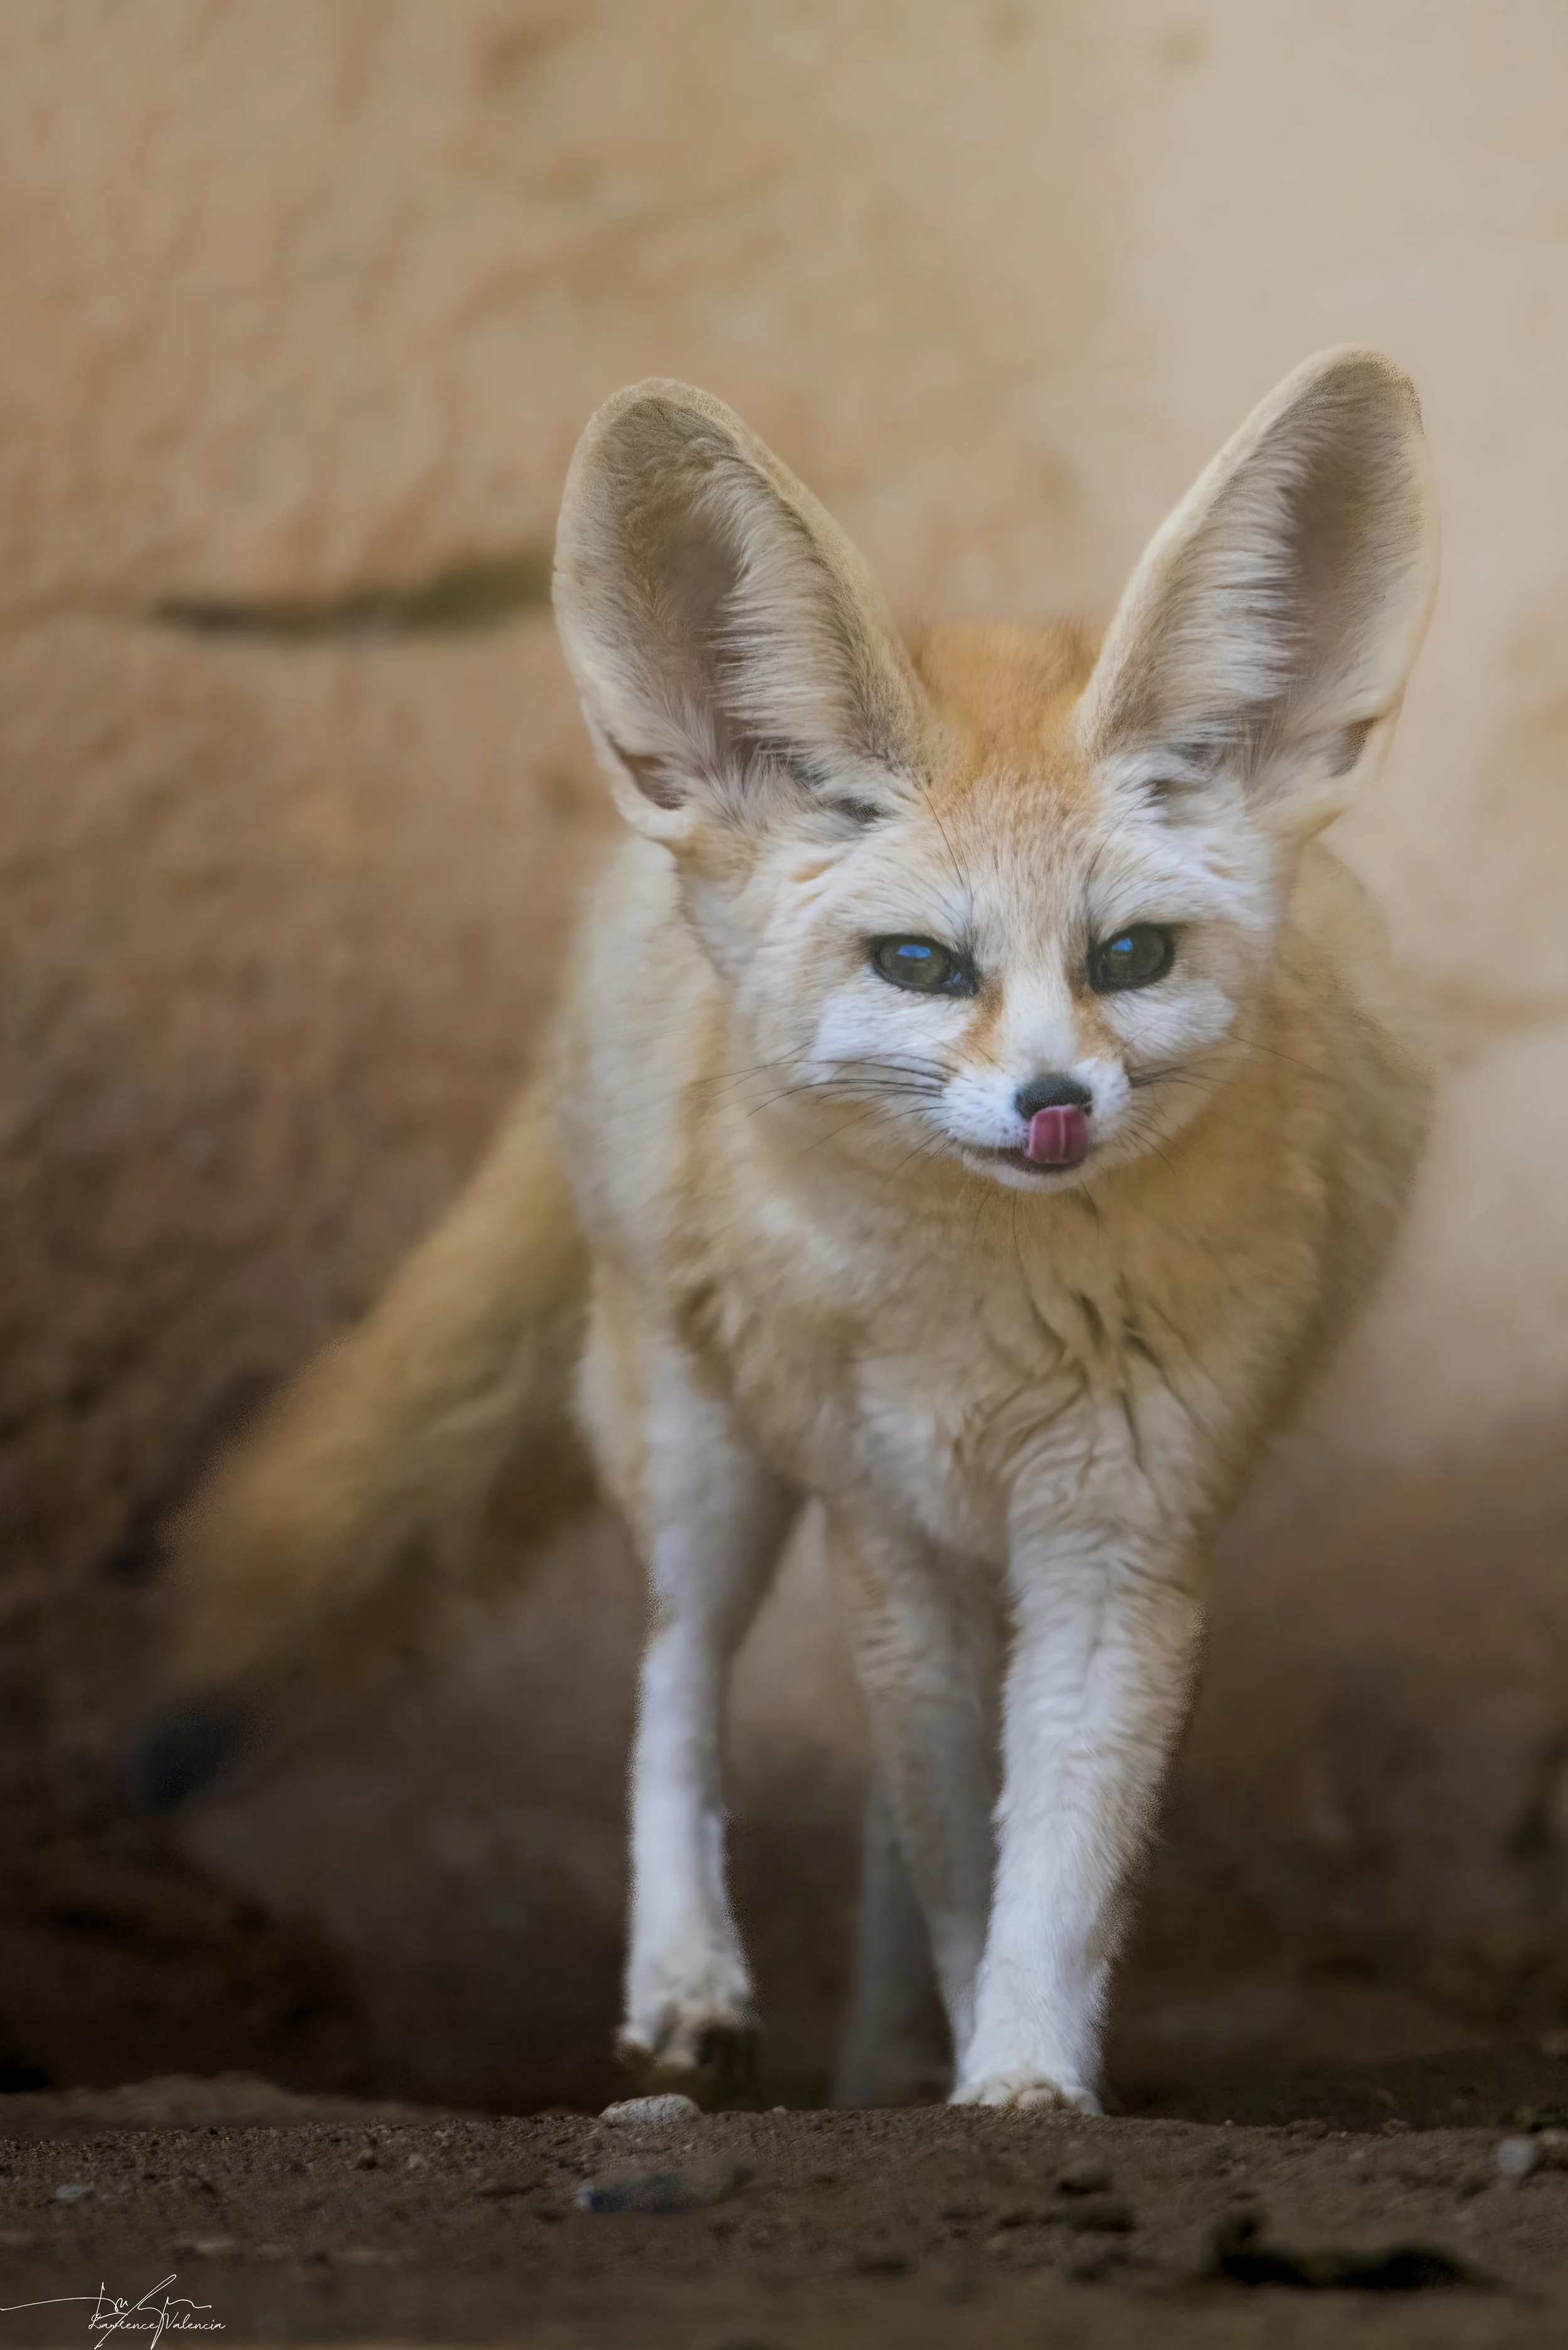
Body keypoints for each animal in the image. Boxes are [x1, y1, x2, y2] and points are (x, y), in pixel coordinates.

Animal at [142, 348, 1438, 2114]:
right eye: (920, 966)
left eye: (1130, 955)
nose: (1052, 1105)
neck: (992, 1329)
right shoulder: (884, 1528)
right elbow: (956, 1856)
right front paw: (975, 2057)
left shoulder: (1122, 1541)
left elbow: (1051, 1855)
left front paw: (1020, 2076)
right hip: (705, 1452)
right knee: (675, 1679)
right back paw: (688, 1984)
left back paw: (875, 2061)